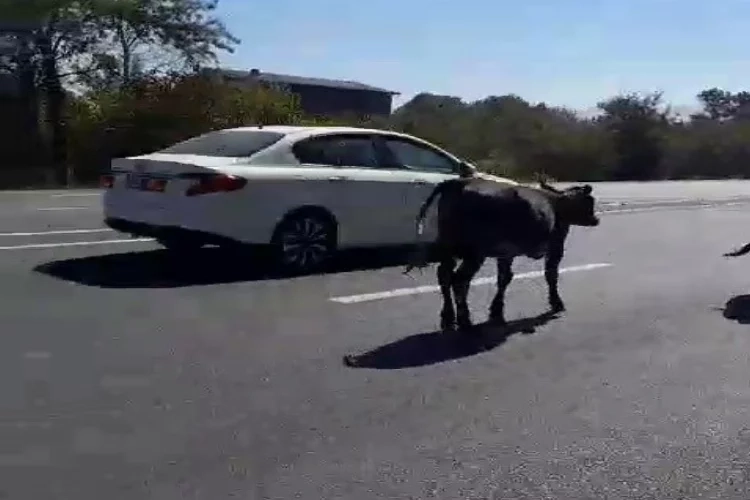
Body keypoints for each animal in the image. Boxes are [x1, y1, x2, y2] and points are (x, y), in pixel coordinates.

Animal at [408, 177, 604, 332]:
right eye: (589, 202)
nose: (596, 220)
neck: (558, 204)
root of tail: (457, 183)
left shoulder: (506, 253)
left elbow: (504, 278)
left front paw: (496, 311)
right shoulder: (556, 248)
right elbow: (551, 275)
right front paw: (556, 303)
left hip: (449, 247)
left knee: (444, 275)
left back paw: (448, 318)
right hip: (474, 252)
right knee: (459, 280)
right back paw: (465, 321)